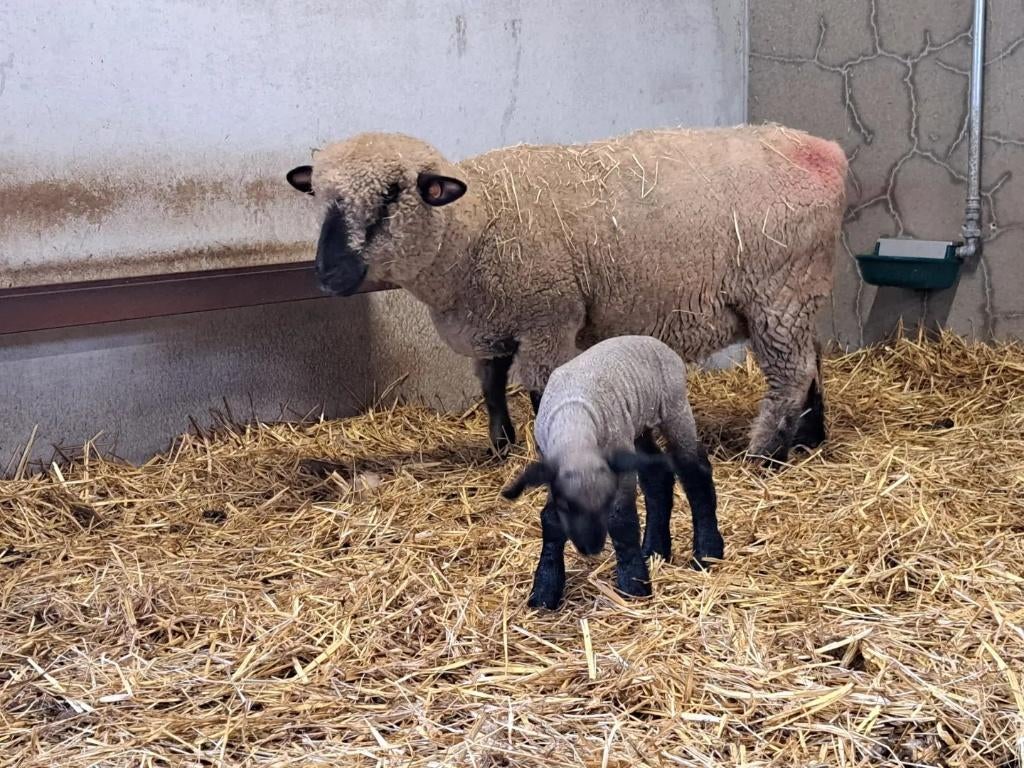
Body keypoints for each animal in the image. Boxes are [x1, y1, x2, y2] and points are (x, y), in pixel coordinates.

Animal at [285, 124, 847, 463]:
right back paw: (809, 437)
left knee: (791, 373)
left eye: (391, 196)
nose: (327, 275)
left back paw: (764, 453)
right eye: (320, 197)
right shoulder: (493, 324)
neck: (475, 223)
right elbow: (492, 388)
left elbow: (539, 390)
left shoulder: (546, 318)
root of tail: (826, 153)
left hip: (779, 291)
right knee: (812, 361)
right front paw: (500, 447)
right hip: (799, 296)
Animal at [499, 335, 722, 609]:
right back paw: (654, 549)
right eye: (566, 506)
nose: (591, 548)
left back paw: (708, 551)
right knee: (657, 476)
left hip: (674, 408)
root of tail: (653, 341)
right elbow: (550, 520)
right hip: (637, 425)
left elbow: (621, 520)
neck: (575, 427)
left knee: (695, 474)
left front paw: (633, 583)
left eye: (605, 503)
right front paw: (544, 589)